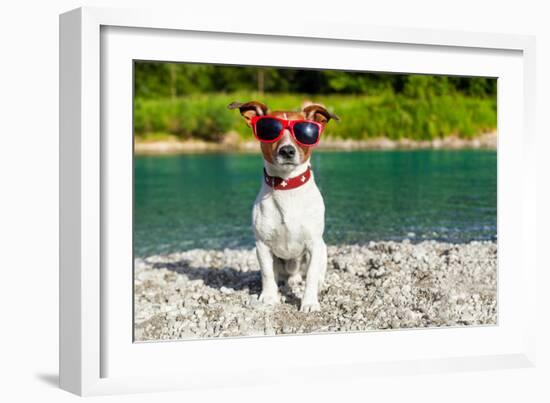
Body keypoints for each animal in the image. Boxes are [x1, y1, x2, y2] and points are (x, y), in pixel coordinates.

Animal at [226, 101, 338, 312]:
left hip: (323, 248)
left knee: (315, 272)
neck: (287, 187)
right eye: (270, 130)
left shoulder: (314, 244)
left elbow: (311, 276)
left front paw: (309, 302)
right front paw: (269, 297)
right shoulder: (262, 245)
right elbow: (267, 274)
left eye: (304, 132)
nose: (287, 151)